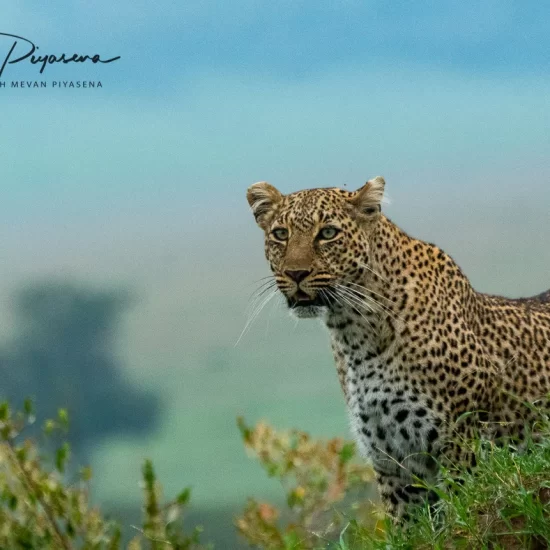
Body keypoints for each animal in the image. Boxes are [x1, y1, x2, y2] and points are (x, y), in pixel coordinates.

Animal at [246, 178, 550, 520]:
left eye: (327, 233)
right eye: (280, 234)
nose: (295, 274)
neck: (355, 333)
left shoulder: (460, 442)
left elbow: (461, 511)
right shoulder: (391, 459)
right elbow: (409, 523)